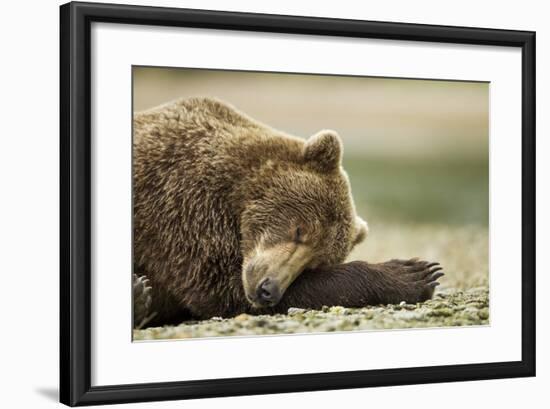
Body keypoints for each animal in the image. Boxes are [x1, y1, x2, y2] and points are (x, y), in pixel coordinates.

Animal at [133, 97, 444, 326]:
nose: (268, 290)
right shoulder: (183, 207)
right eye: (299, 230)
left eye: (314, 263)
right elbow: (218, 286)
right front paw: (414, 273)